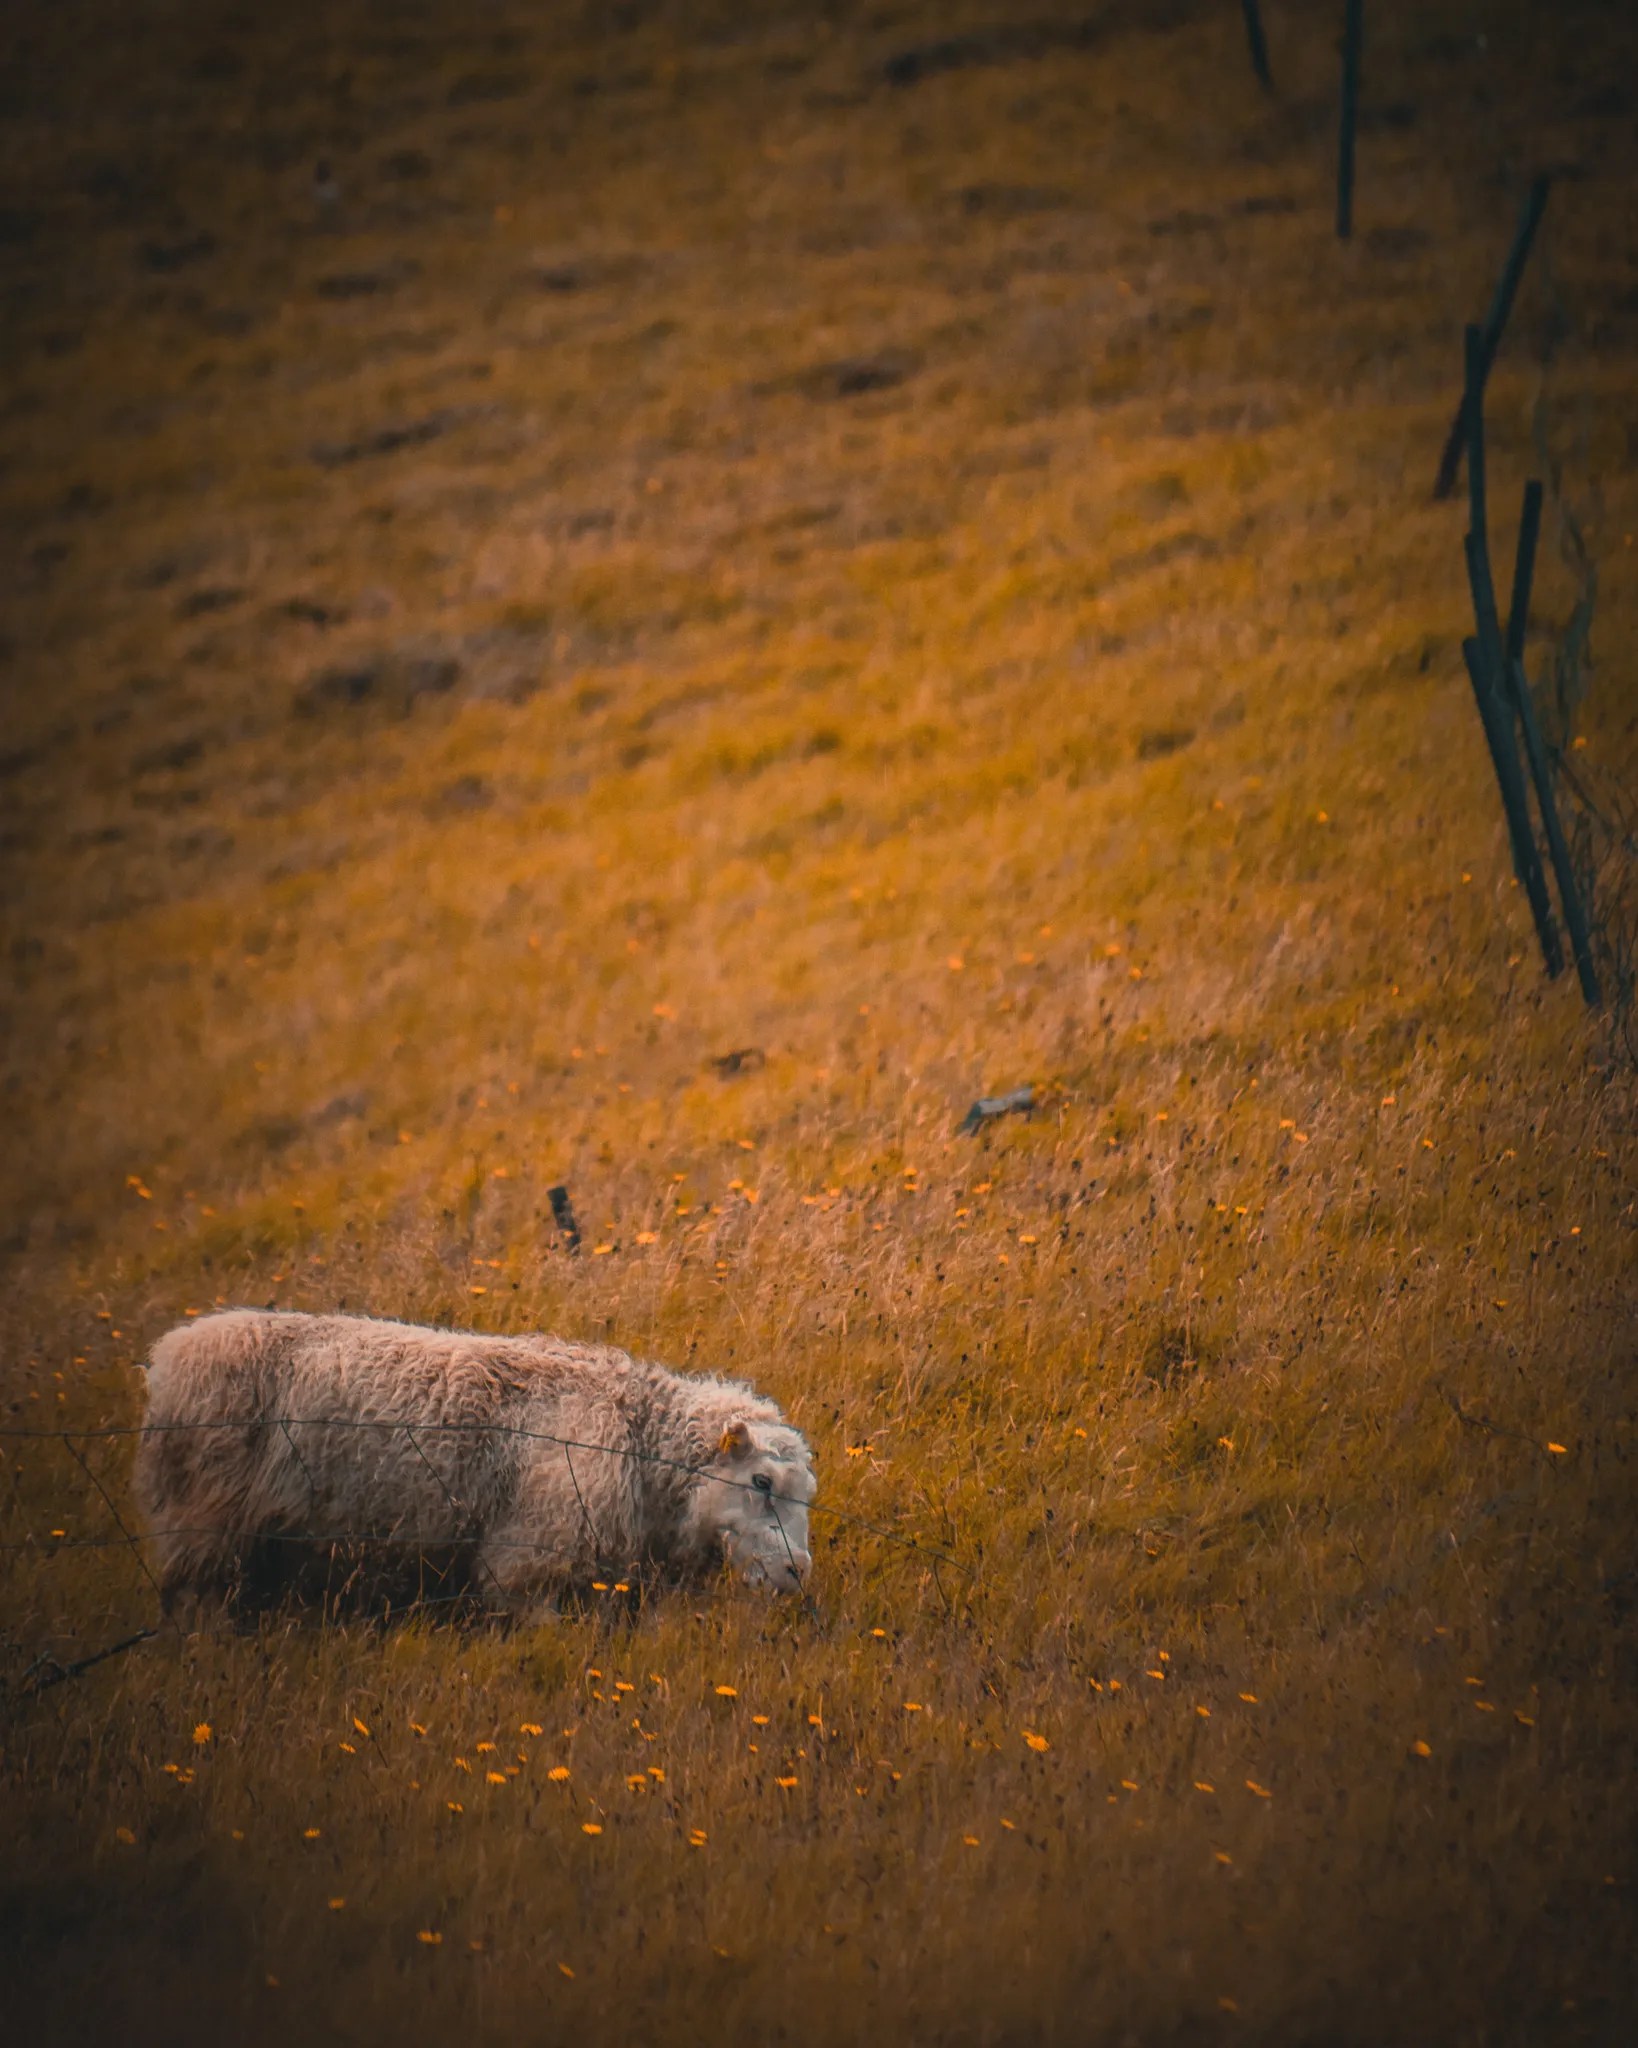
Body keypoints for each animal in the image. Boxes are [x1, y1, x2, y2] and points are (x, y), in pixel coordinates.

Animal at [135, 1309, 815, 1615]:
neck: (637, 1437)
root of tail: (170, 1355)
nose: (798, 1572)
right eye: (761, 1480)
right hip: (202, 1517)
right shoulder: (530, 1561)